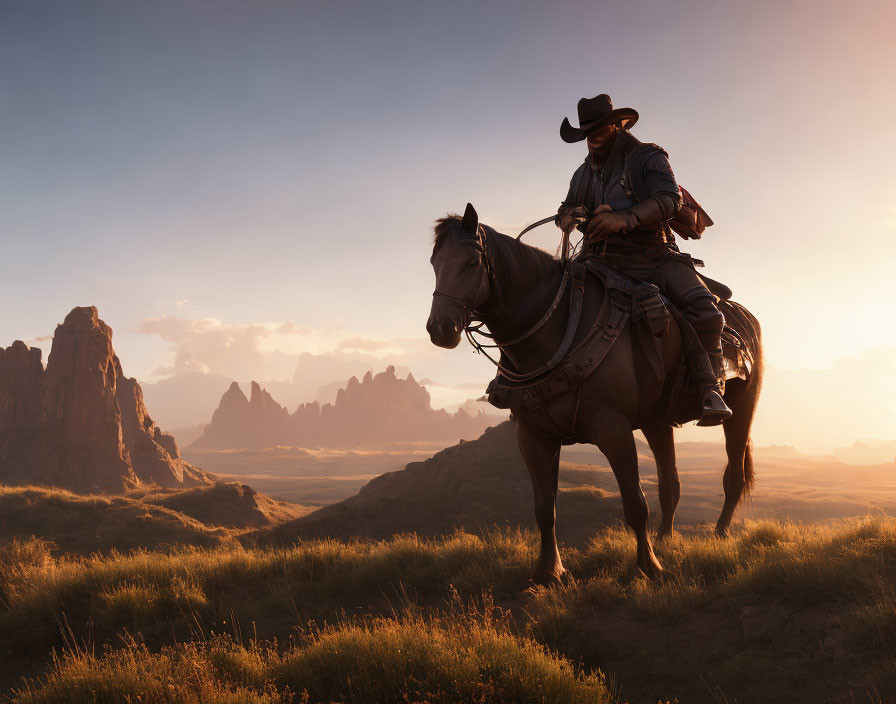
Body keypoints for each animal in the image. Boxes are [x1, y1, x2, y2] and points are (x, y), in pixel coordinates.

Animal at [428, 205, 764, 584]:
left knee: (733, 475)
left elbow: (635, 504)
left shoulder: (613, 429)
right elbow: (545, 509)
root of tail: (744, 317)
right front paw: (549, 572)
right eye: (434, 263)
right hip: (657, 423)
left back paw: (718, 535)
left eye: (472, 262)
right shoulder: (533, 435)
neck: (560, 327)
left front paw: (649, 567)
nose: (439, 328)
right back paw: (665, 540)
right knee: (670, 483)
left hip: (741, 409)